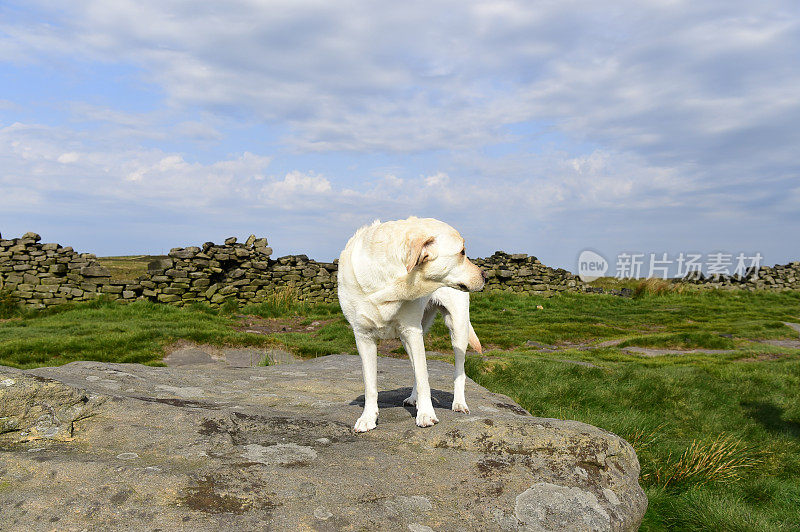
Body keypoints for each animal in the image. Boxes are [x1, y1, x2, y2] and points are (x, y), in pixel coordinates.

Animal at [338, 216, 488, 432]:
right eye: (462, 252)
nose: (486, 276)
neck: (387, 284)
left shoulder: (412, 331)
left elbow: (424, 376)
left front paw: (426, 415)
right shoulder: (363, 337)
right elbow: (370, 384)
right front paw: (368, 417)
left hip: (457, 328)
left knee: (459, 371)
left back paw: (459, 403)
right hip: (409, 338)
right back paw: (414, 398)